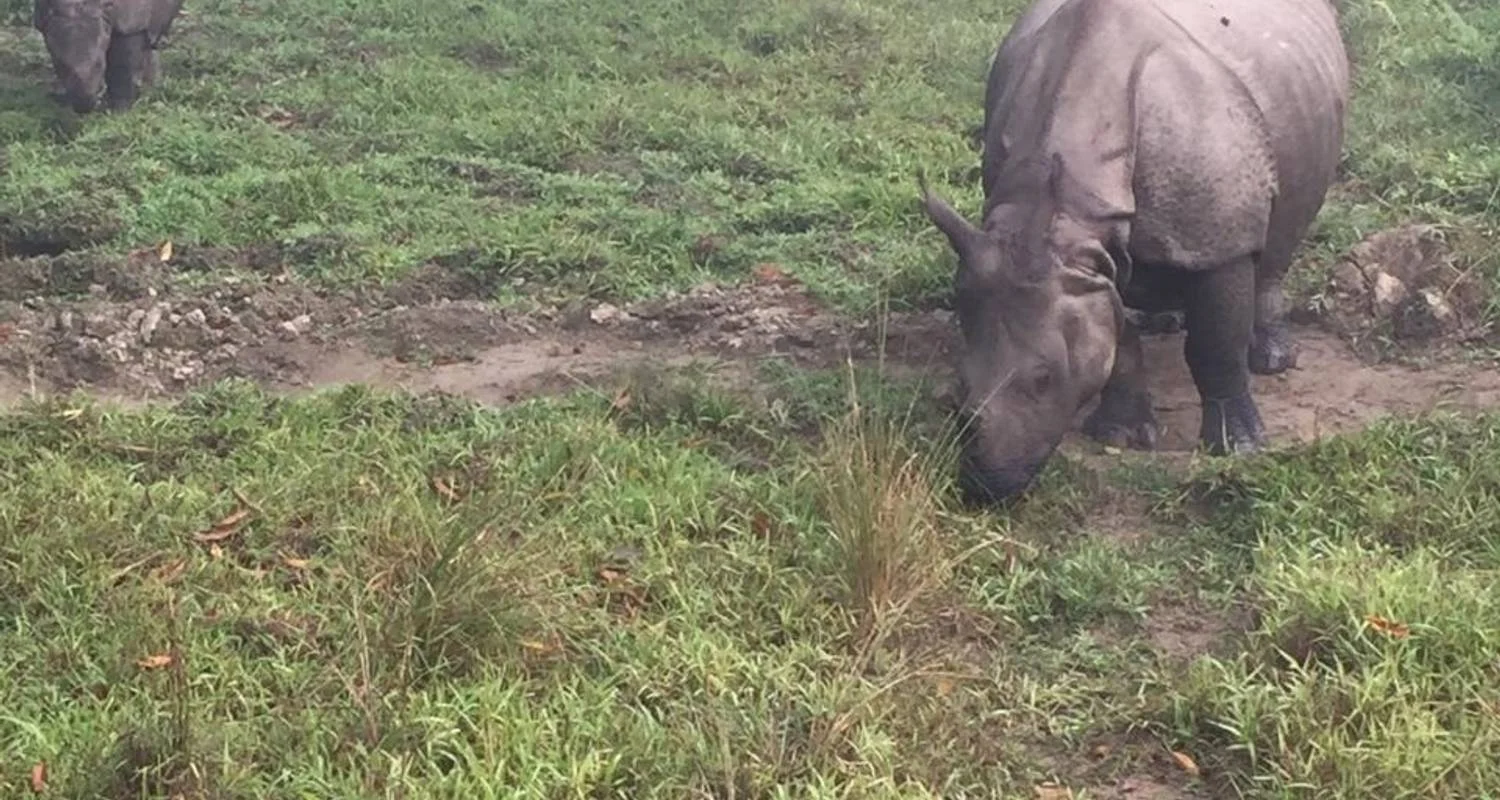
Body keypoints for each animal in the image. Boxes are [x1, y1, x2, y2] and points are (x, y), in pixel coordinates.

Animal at [33, 0, 186, 113]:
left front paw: (120, 111)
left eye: (100, 65)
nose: (85, 105)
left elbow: (122, 65)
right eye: (60, 65)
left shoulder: (130, 23)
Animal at [920, 0, 1348, 504]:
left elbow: (1216, 342)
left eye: (1044, 379)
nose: (985, 486)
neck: (1068, 209)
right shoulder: (1088, 265)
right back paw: (1166, 319)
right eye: (960, 384)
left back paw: (1271, 360)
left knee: (1282, 231)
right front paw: (1120, 436)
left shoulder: (1218, 238)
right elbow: (1118, 341)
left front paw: (1238, 447)